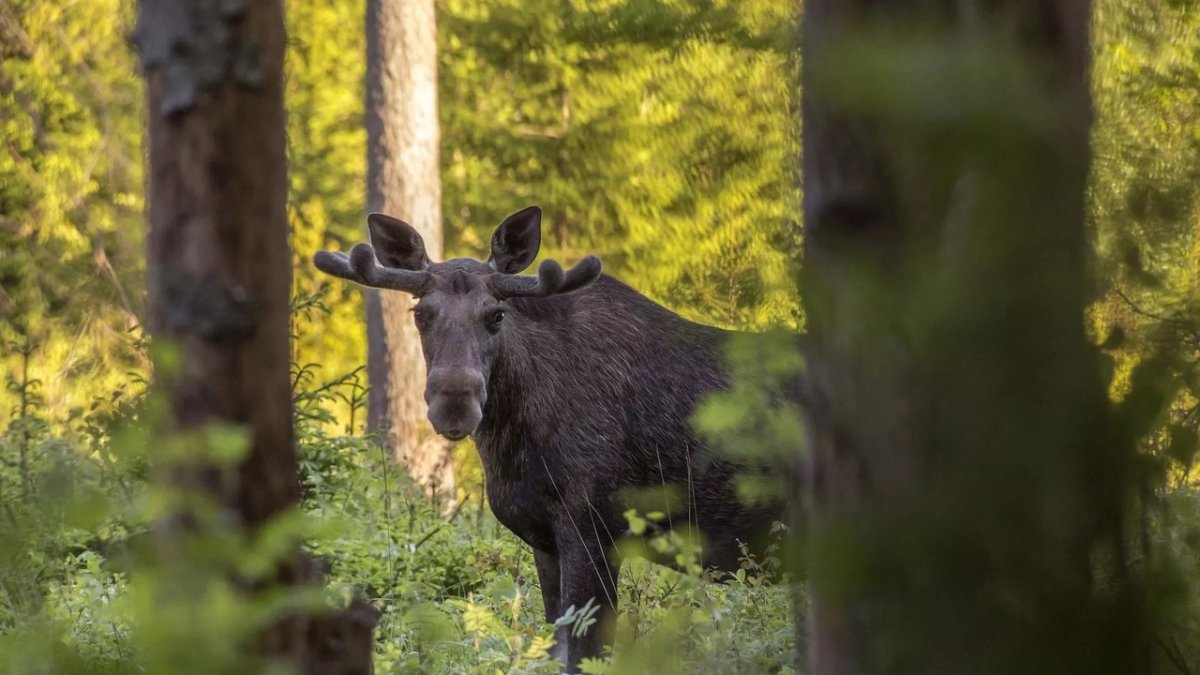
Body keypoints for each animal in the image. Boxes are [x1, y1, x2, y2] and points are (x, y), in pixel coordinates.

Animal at [314, 205, 792, 667]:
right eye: (419, 313)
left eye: (497, 314)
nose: (454, 403)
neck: (513, 448)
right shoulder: (545, 540)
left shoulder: (595, 527)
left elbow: (584, 653)